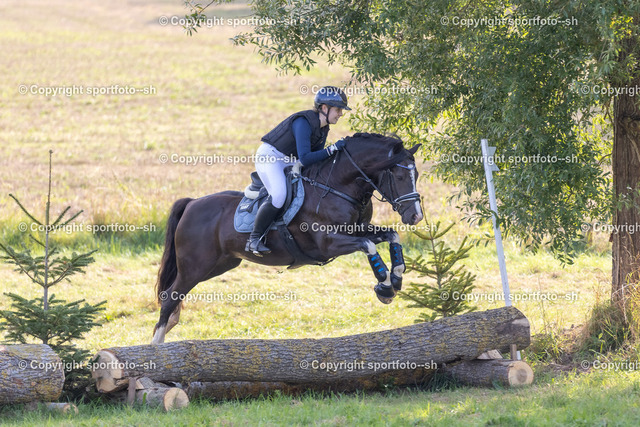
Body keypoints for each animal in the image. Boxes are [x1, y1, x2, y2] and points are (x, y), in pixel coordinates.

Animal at [151, 133, 423, 344]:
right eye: (399, 177)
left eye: (417, 175)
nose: (416, 216)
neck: (337, 186)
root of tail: (191, 203)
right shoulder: (329, 243)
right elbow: (368, 246)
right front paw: (384, 285)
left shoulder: (358, 230)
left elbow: (391, 236)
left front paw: (395, 278)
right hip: (195, 266)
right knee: (170, 296)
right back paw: (156, 346)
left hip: (220, 264)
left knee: (175, 298)